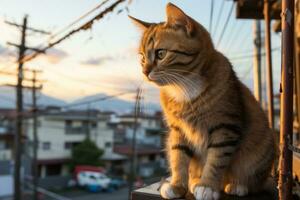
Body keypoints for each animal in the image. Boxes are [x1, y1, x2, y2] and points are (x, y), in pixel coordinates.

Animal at [130, 3, 276, 200]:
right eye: (142, 58)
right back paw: (194, 182)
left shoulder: (225, 126)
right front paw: (177, 186)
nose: (145, 72)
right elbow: (178, 157)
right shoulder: (177, 130)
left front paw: (207, 186)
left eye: (161, 54)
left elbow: (216, 159)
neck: (183, 88)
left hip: (262, 148)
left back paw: (237, 185)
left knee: (255, 181)